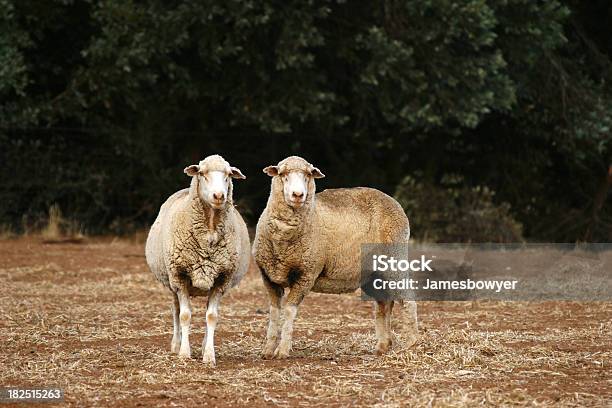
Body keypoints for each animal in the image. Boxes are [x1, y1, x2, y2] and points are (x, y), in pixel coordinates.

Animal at [145, 155, 249, 364]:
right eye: (202, 173)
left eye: (228, 175)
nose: (219, 196)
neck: (209, 228)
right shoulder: (179, 276)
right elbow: (184, 316)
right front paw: (184, 353)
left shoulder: (221, 279)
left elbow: (212, 317)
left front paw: (209, 355)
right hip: (172, 282)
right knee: (176, 311)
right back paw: (176, 345)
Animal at [252, 155, 416, 358]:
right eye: (282, 174)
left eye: (308, 174)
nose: (298, 195)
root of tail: (393, 201)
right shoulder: (268, 277)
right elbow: (274, 313)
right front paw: (268, 350)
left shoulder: (306, 274)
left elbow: (289, 312)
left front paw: (282, 350)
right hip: (373, 273)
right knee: (384, 303)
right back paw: (383, 346)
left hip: (395, 258)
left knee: (407, 298)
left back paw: (411, 343)